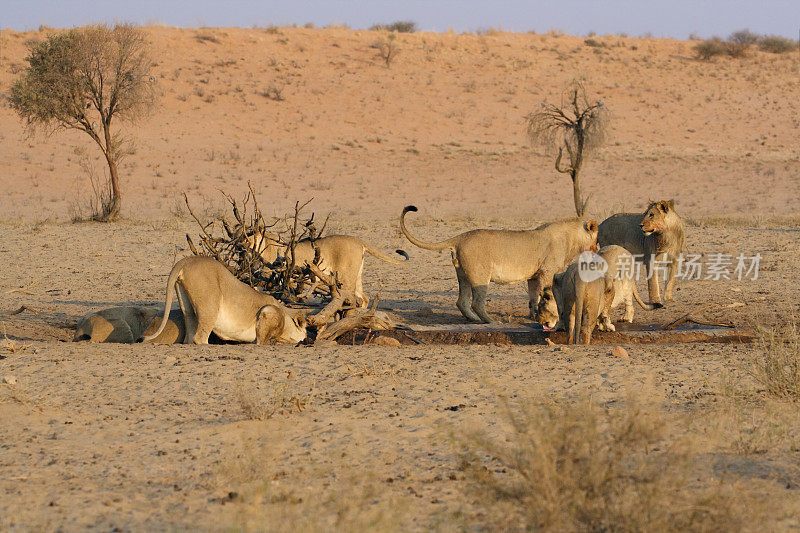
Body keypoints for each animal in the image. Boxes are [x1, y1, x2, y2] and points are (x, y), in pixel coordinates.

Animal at [141, 255, 306, 344]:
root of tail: (186, 260)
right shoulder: (268, 312)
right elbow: (262, 340)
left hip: (187, 305)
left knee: (190, 335)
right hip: (210, 305)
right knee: (200, 337)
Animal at [242, 234, 406, 308]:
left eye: (248, 239)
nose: (242, 246)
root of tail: (357, 240)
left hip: (345, 278)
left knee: (352, 298)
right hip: (356, 275)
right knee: (364, 298)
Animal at [404, 205, 596, 322]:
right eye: (597, 236)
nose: (597, 247)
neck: (573, 239)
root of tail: (460, 237)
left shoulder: (534, 276)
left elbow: (533, 297)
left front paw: (533, 315)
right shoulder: (547, 271)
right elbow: (547, 294)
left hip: (463, 275)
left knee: (462, 302)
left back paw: (474, 319)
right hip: (480, 275)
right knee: (476, 303)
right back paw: (490, 321)